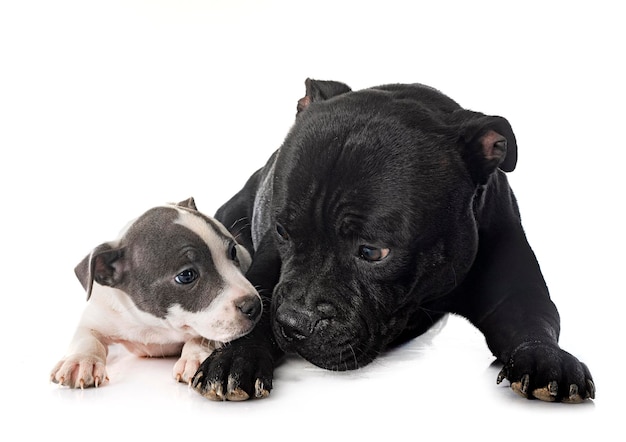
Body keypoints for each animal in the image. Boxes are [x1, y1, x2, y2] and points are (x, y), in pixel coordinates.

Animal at [49, 199, 260, 388]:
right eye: (186, 275)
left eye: (233, 252)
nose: (255, 305)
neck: (153, 325)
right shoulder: (98, 315)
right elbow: (86, 338)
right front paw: (80, 361)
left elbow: (201, 336)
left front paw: (195, 357)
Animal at [193, 77, 592, 402]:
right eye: (282, 231)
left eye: (372, 252)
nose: (293, 323)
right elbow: (255, 304)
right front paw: (235, 356)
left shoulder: (518, 292)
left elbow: (533, 321)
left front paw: (546, 358)